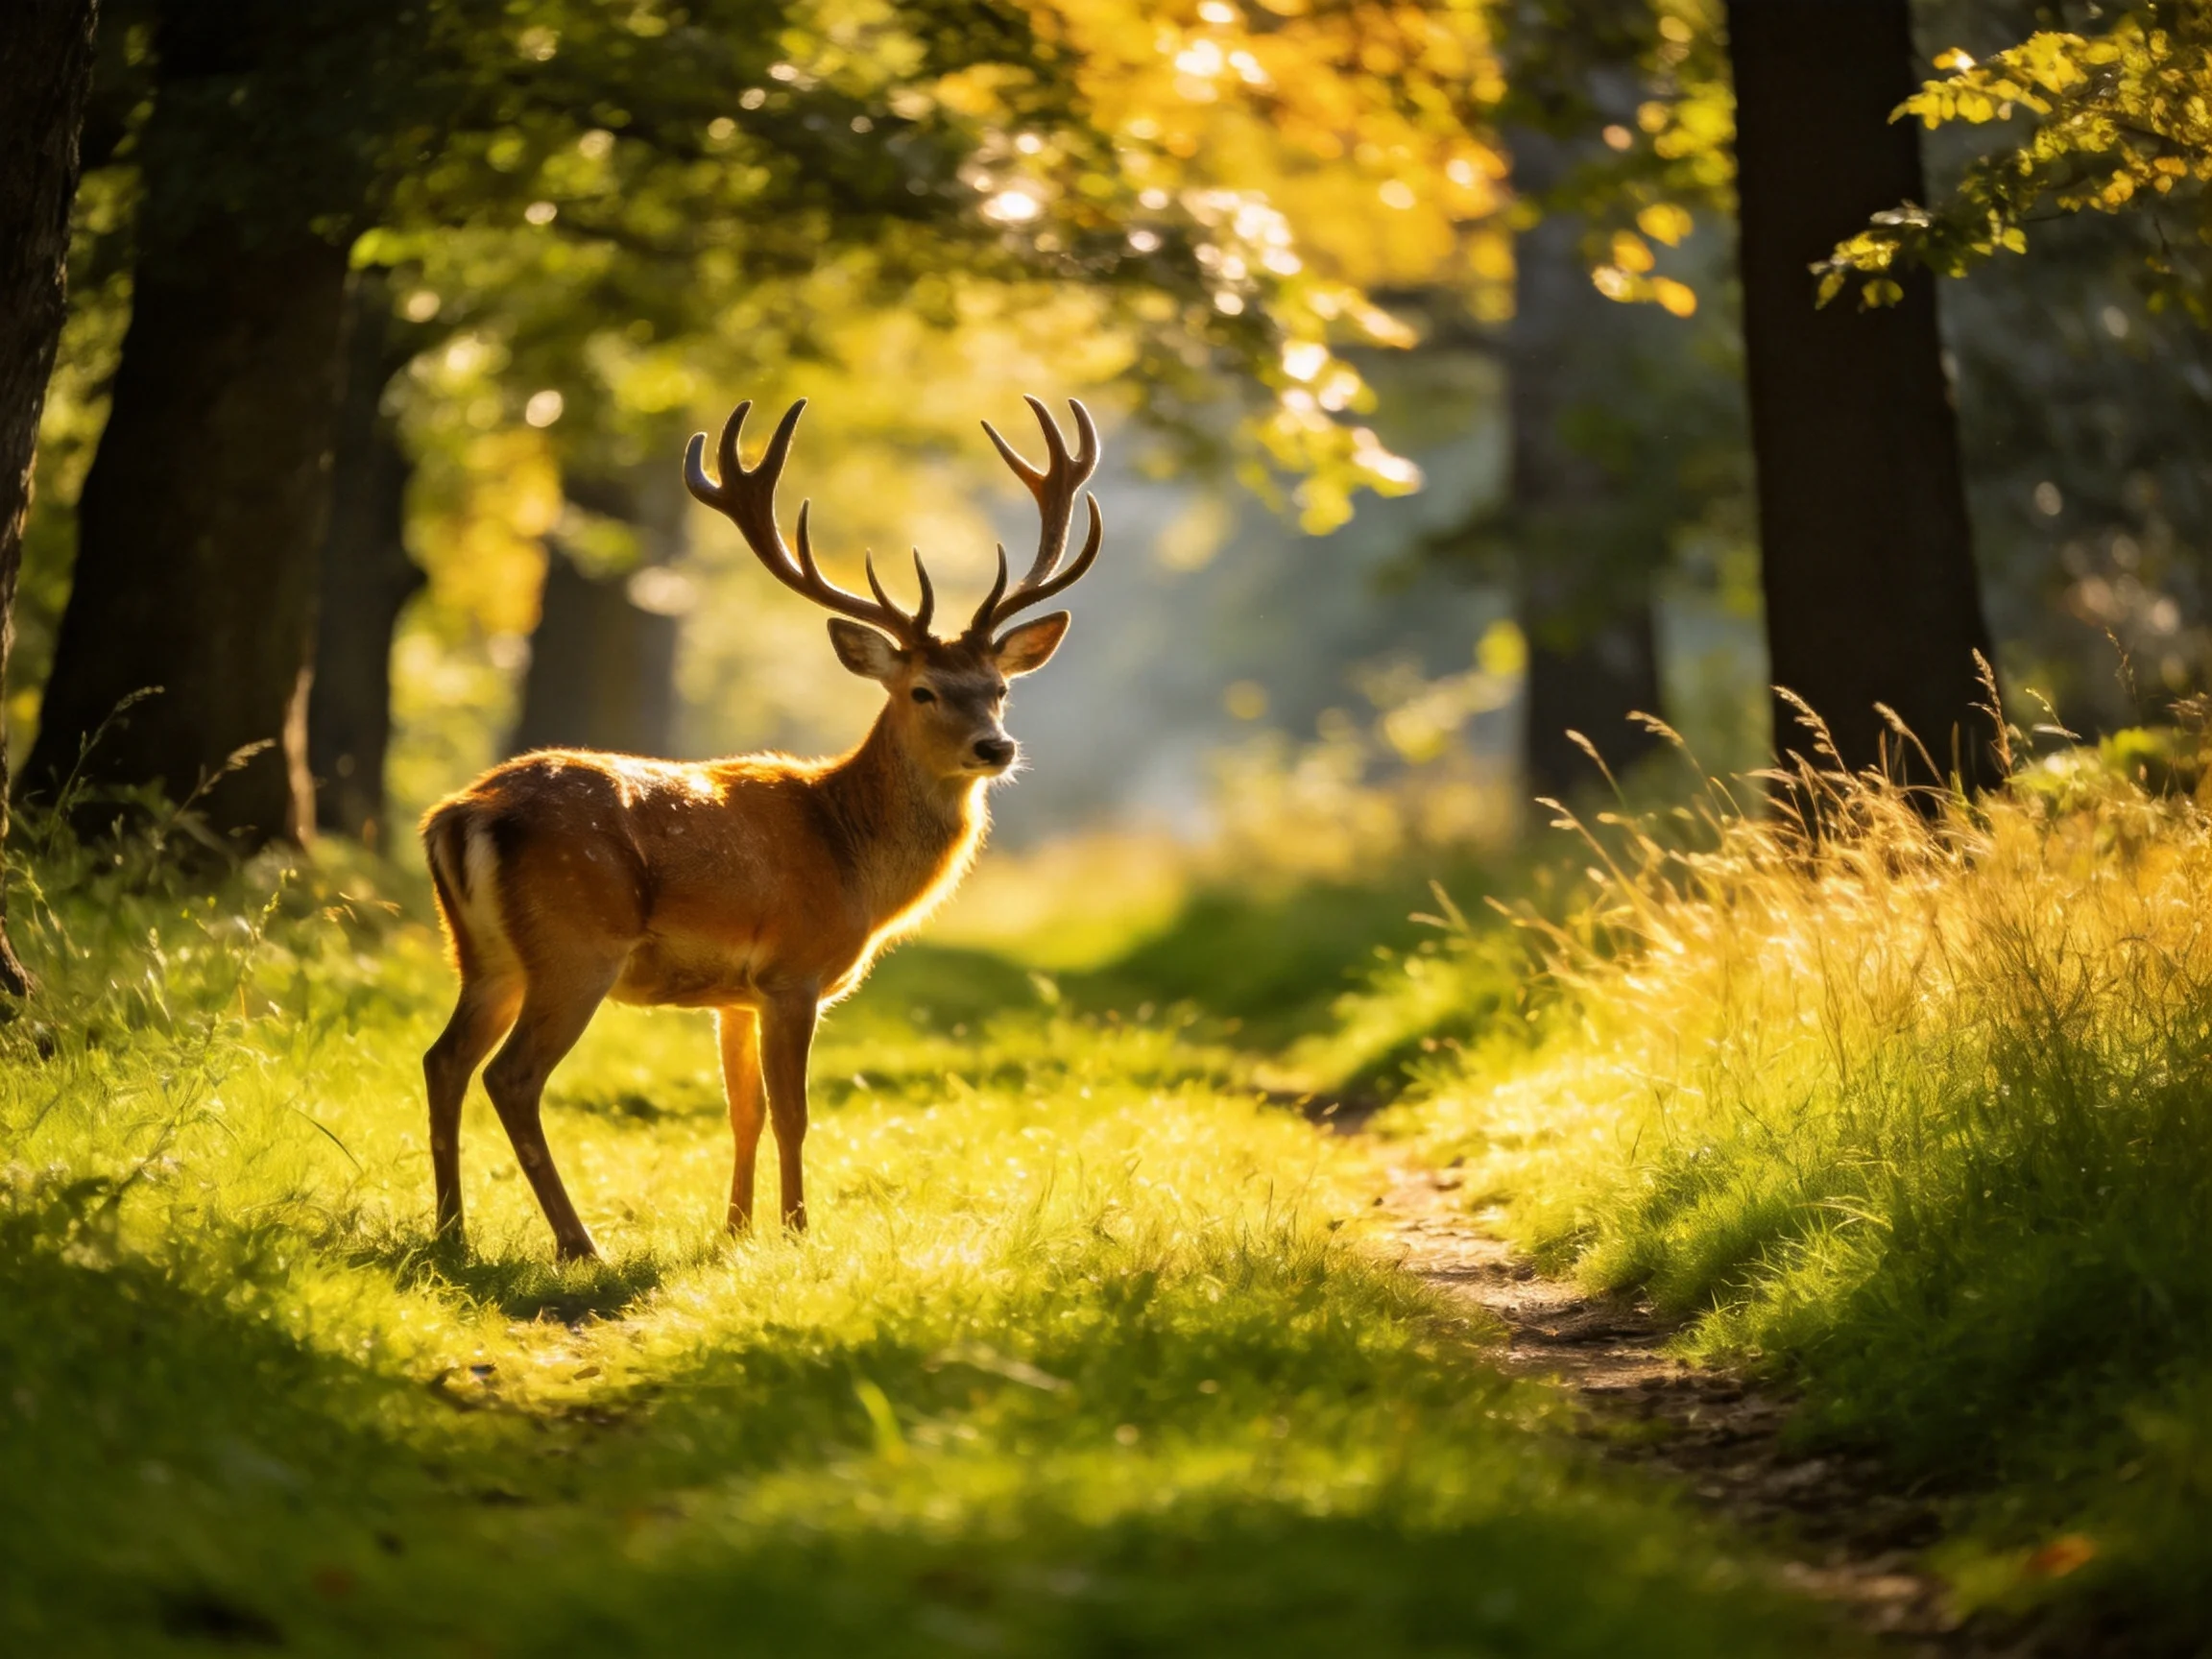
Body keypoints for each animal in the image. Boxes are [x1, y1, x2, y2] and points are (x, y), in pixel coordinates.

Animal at [419, 394, 1103, 1260]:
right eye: (922, 690)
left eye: (1000, 688)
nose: (996, 746)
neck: (851, 856)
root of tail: (463, 812)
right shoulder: (792, 971)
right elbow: (795, 1112)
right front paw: (800, 1230)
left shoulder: (732, 996)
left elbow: (742, 1110)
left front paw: (737, 1230)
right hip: (576, 943)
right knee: (510, 1077)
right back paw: (578, 1243)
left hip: (483, 955)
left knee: (442, 1060)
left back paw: (451, 1232)